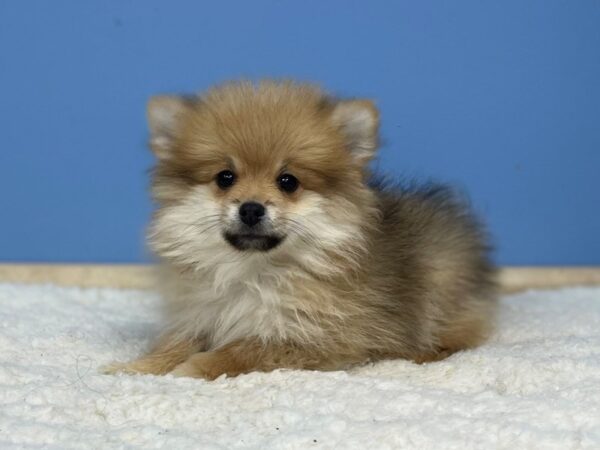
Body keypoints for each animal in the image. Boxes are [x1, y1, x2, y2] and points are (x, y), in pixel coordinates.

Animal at [104, 79, 496, 378]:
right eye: (225, 178)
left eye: (288, 181)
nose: (251, 208)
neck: (252, 273)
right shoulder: (200, 315)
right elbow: (173, 343)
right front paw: (136, 367)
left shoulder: (320, 337)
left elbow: (245, 348)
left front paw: (194, 367)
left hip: (440, 287)